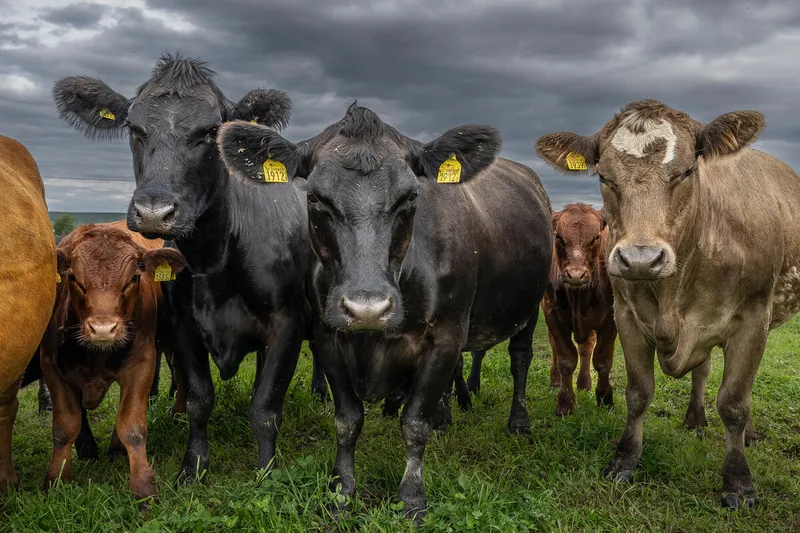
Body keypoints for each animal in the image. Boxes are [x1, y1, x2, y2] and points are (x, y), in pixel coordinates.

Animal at [40, 223, 186, 500]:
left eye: (133, 279)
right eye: (74, 279)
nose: (103, 329)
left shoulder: (142, 364)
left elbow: (133, 427)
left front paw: (144, 487)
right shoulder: (51, 367)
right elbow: (64, 428)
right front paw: (55, 480)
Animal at [52, 53, 320, 483]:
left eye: (211, 131)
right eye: (134, 128)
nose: (154, 212)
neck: (215, 261)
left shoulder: (287, 322)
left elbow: (266, 407)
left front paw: (266, 471)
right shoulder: (183, 327)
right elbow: (198, 398)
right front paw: (193, 467)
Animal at [217, 103, 553, 522]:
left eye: (409, 197)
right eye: (315, 198)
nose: (367, 308)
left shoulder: (445, 337)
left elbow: (414, 424)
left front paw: (412, 499)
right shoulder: (328, 336)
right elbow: (347, 421)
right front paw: (342, 492)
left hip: (530, 306)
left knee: (520, 359)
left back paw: (518, 423)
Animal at [542, 203, 616, 417]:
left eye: (596, 237)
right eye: (558, 236)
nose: (575, 275)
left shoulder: (610, 320)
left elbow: (602, 361)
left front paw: (605, 399)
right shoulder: (553, 317)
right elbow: (566, 360)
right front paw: (565, 403)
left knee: (586, 348)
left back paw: (584, 384)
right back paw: (555, 379)